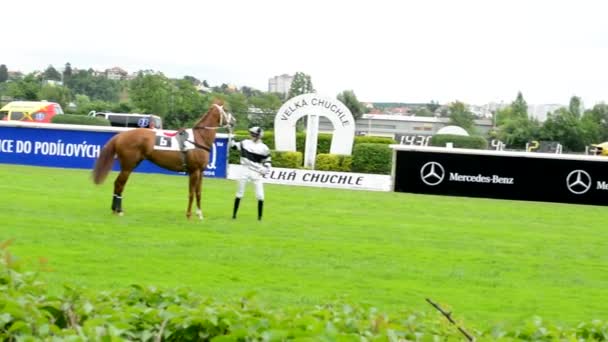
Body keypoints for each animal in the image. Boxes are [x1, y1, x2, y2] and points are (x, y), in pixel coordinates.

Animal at [92, 100, 235, 219]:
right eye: (226, 109)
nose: (234, 121)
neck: (199, 138)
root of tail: (121, 135)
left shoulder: (200, 172)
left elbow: (198, 193)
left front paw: (200, 214)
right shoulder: (194, 171)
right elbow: (191, 193)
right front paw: (188, 215)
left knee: (118, 184)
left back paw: (115, 209)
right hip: (128, 165)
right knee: (120, 184)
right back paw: (119, 210)